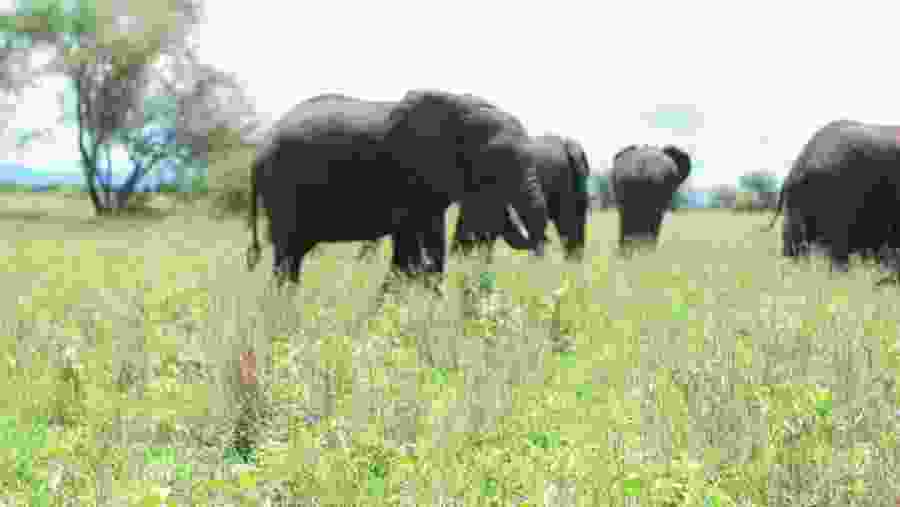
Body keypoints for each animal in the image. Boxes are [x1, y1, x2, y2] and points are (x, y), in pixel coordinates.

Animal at [246, 89, 549, 289]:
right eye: (495, 162)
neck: (459, 106)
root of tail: (257, 153)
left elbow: (431, 243)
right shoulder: (407, 176)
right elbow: (409, 244)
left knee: (294, 253)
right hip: (282, 189)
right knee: (287, 253)